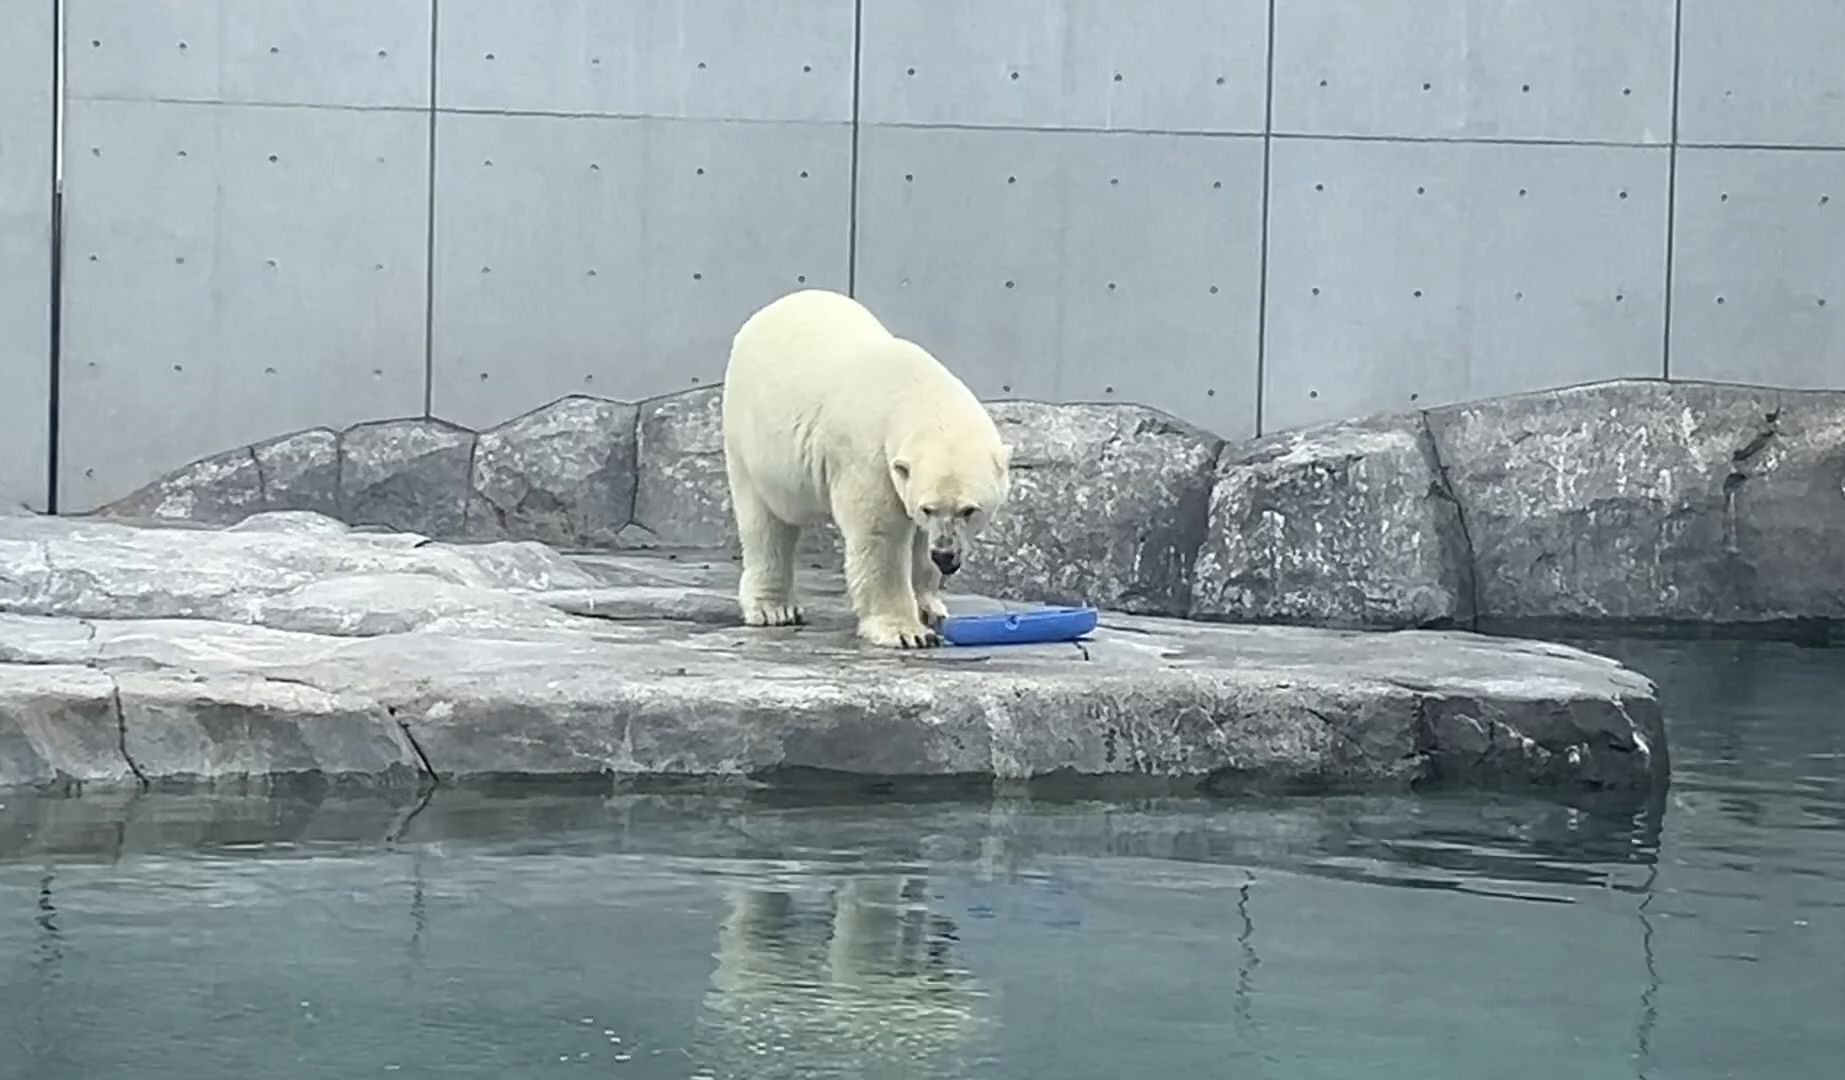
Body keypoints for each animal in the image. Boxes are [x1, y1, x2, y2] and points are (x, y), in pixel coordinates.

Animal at [715, 286, 1011, 649]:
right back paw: (773, 608)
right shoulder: (868, 456)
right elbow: (880, 535)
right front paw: (906, 631)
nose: (945, 555)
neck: (915, 390)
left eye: (969, 510)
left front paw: (930, 606)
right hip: (751, 437)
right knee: (766, 521)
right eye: (929, 508)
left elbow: (917, 538)